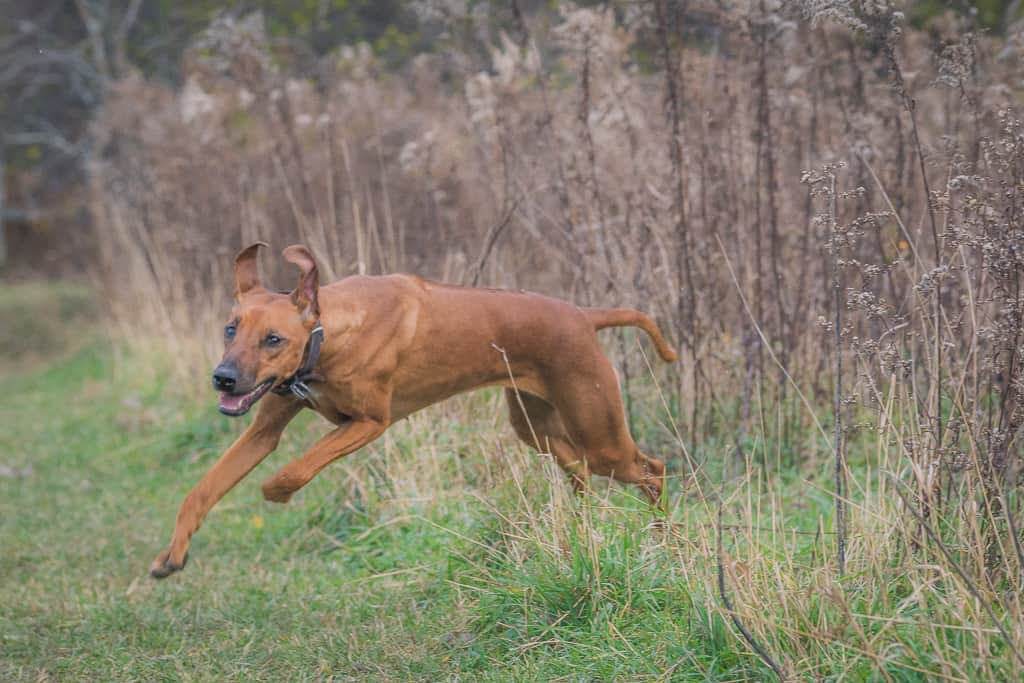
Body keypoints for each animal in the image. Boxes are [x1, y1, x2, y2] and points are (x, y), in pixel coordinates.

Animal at [148, 242, 675, 581]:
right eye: (230, 328)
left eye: (273, 339)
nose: (223, 378)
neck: (329, 331)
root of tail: (585, 316)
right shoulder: (263, 427)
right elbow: (201, 491)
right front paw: (171, 556)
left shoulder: (368, 423)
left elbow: (298, 467)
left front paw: (276, 490)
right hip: (536, 426)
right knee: (580, 470)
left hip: (599, 430)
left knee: (653, 469)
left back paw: (662, 537)